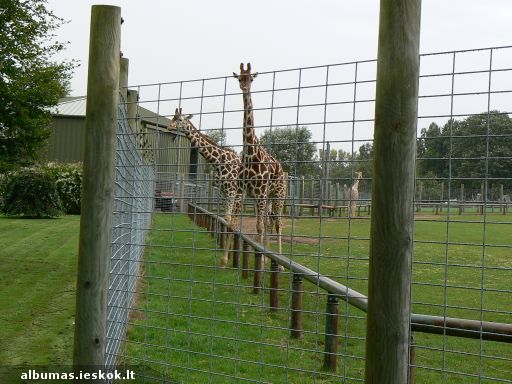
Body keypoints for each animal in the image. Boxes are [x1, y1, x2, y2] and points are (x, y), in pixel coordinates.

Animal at [167, 106, 241, 266]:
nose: (170, 127)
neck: (218, 161)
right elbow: (227, 221)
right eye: (172, 118)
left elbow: (228, 220)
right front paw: (225, 258)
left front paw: (225, 259)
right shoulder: (224, 192)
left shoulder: (231, 191)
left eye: (180, 119)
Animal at [233, 63, 288, 255]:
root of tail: (284, 172)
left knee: (278, 223)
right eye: (239, 78)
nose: (244, 87)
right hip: (268, 197)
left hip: (278, 195)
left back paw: (279, 255)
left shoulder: (260, 193)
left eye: (251, 78)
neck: (251, 152)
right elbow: (244, 225)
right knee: (268, 222)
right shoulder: (246, 193)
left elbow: (259, 227)